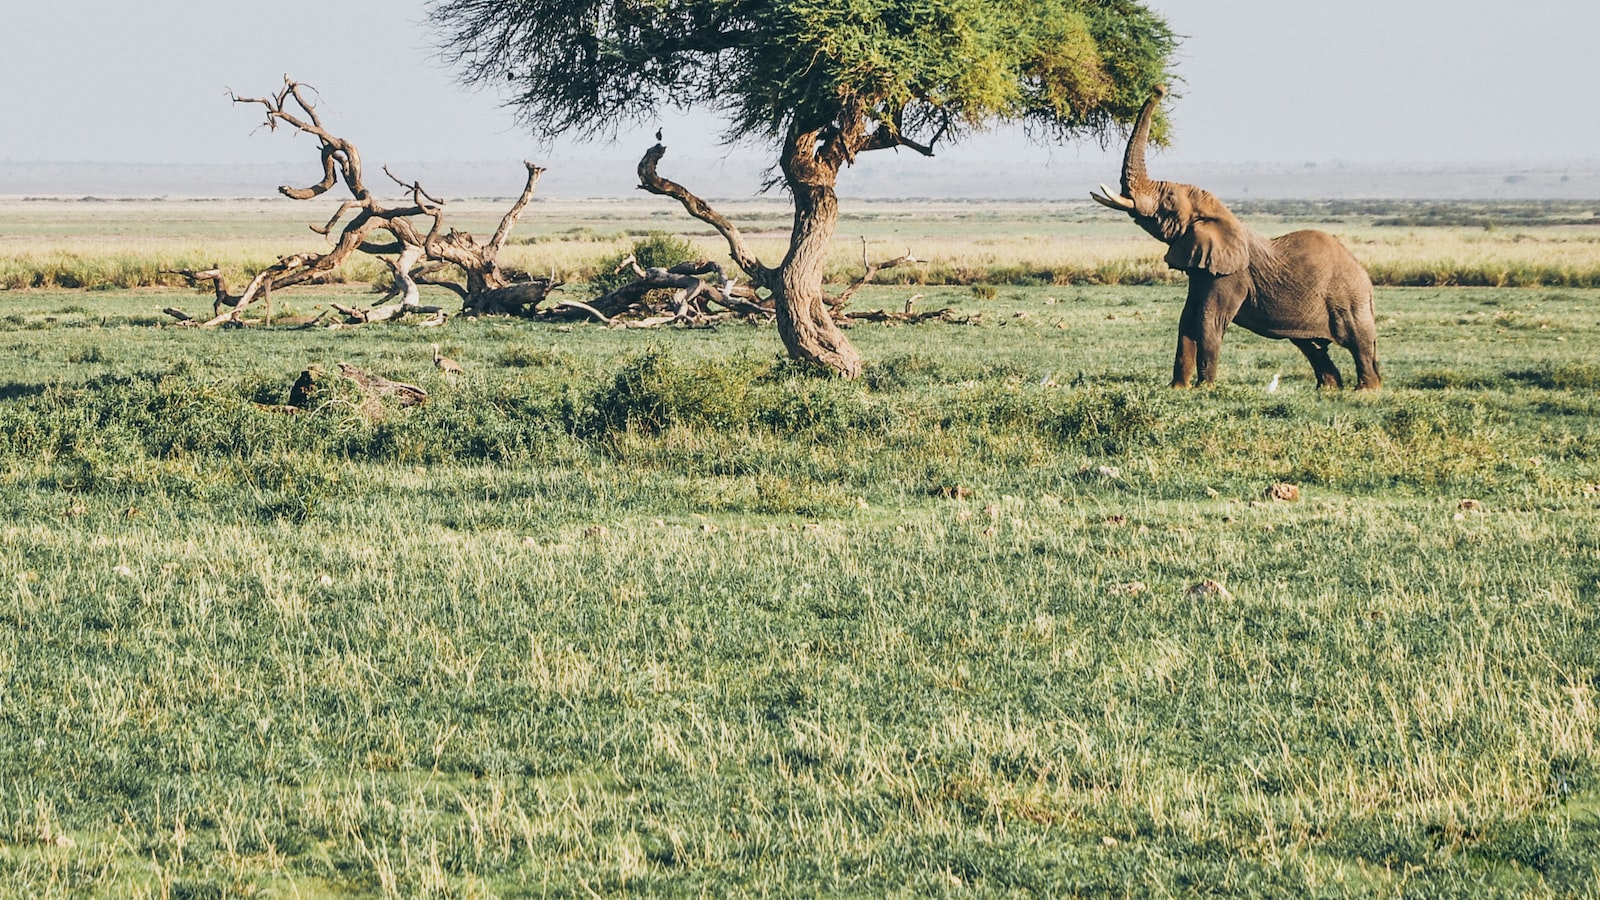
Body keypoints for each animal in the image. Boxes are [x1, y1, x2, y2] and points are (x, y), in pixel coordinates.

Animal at [1094, 84, 1382, 389]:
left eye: (1169, 201)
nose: (1158, 88)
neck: (1221, 214)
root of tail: (1366, 278)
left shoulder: (1231, 275)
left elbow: (1208, 321)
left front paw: (1205, 388)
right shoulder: (1203, 268)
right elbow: (1187, 319)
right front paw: (1179, 388)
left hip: (1349, 300)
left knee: (1359, 343)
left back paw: (1365, 391)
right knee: (1312, 346)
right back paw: (1329, 389)